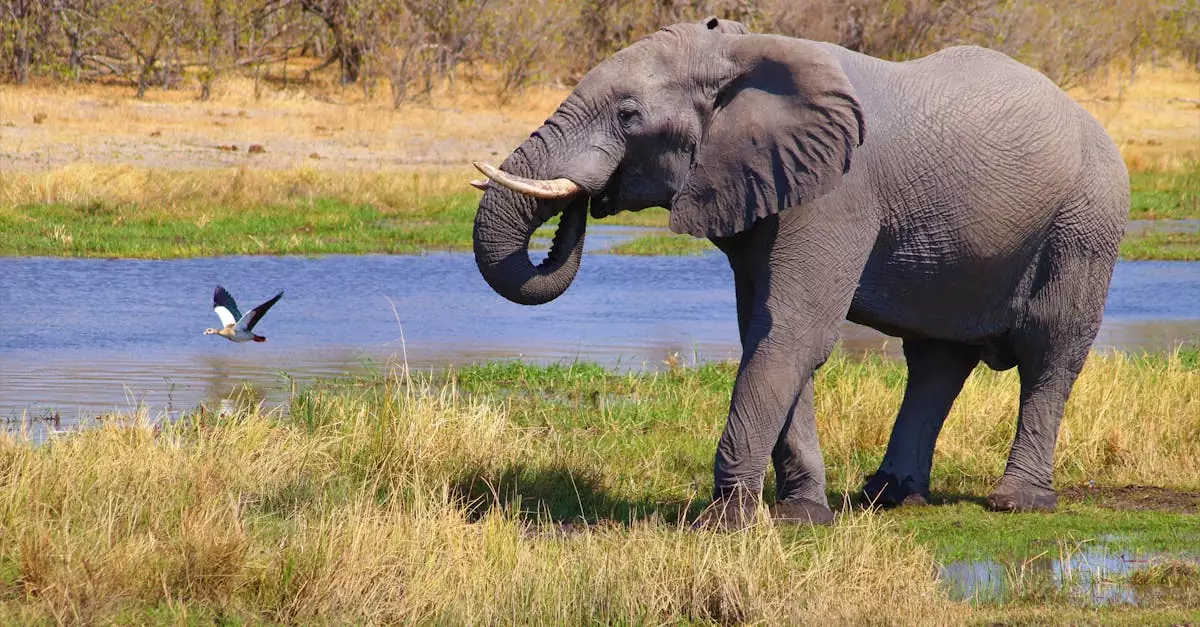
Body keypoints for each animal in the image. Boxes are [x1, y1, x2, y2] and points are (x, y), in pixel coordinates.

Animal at [469, 17, 1129, 528]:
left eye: (628, 114)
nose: (586, 200)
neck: (743, 51)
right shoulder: (765, 188)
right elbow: (766, 329)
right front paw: (801, 516)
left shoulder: (837, 194)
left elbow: (791, 332)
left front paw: (726, 525)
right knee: (937, 359)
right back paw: (887, 497)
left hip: (1085, 226)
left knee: (1050, 352)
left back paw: (1017, 503)